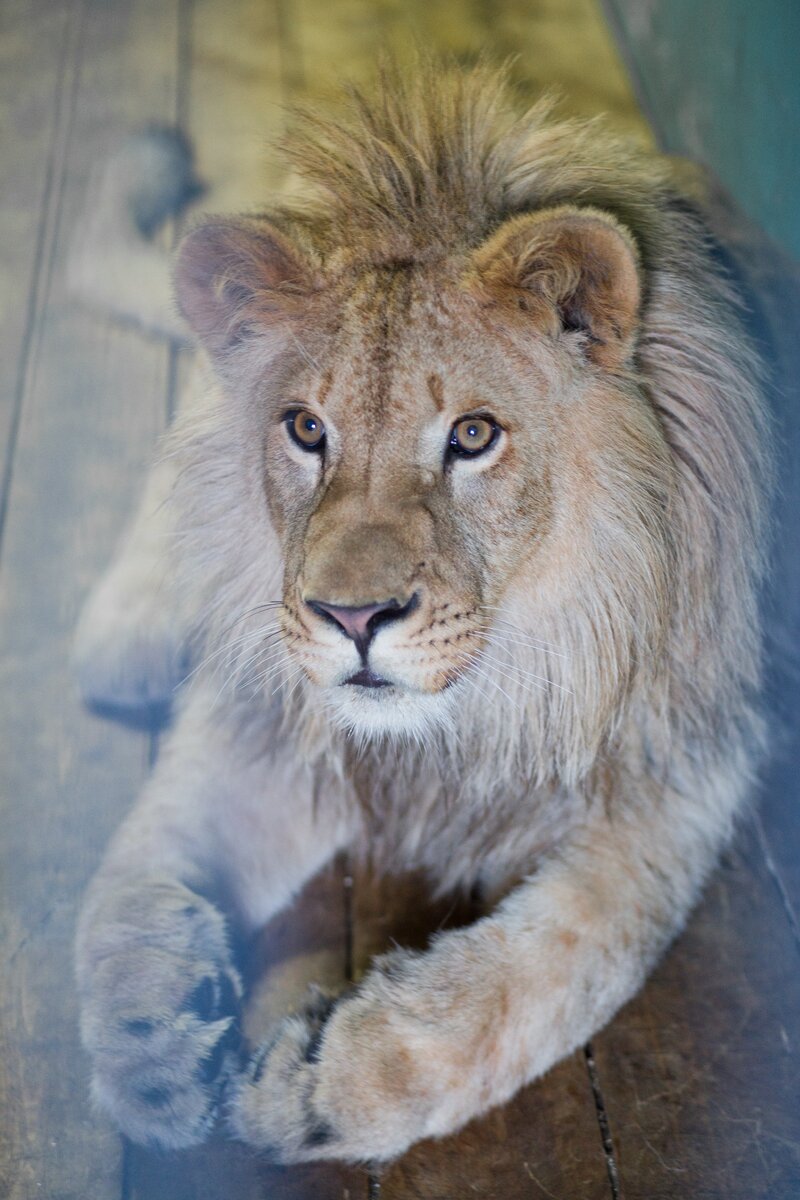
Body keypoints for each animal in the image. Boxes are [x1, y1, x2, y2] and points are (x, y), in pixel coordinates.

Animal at [71, 58, 772, 1161]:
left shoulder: (681, 775)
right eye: (306, 429)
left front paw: (312, 1082)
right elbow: (132, 873)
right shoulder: (268, 719)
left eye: (473, 436)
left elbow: (530, 977)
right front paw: (147, 1046)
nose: (352, 619)